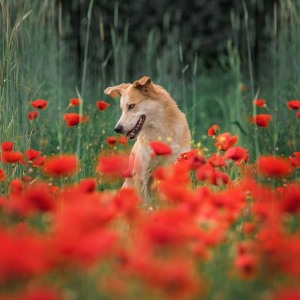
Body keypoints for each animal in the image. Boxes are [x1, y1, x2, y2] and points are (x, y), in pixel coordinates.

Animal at [104, 75, 191, 204]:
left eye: (131, 106)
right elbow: (146, 204)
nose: (117, 129)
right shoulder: (142, 176)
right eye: (122, 109)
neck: (160, 134)